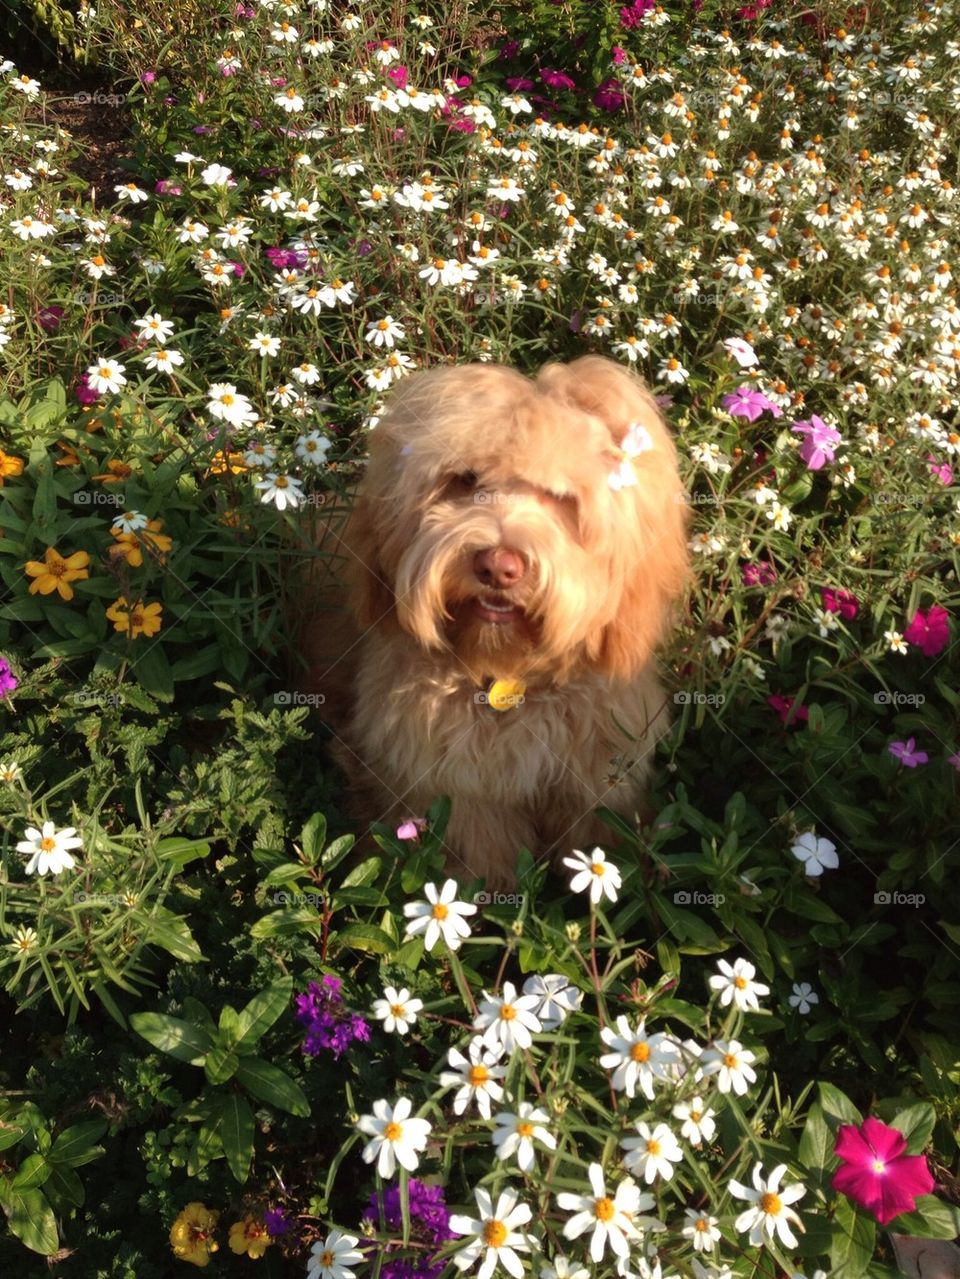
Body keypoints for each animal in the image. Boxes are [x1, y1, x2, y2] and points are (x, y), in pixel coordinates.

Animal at [304, 353, 685, 890]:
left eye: (561, 497)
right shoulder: (455, 783)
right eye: (465, 480)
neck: (507, 671)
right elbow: (479, 850)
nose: (498, 566)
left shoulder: (598, 772)